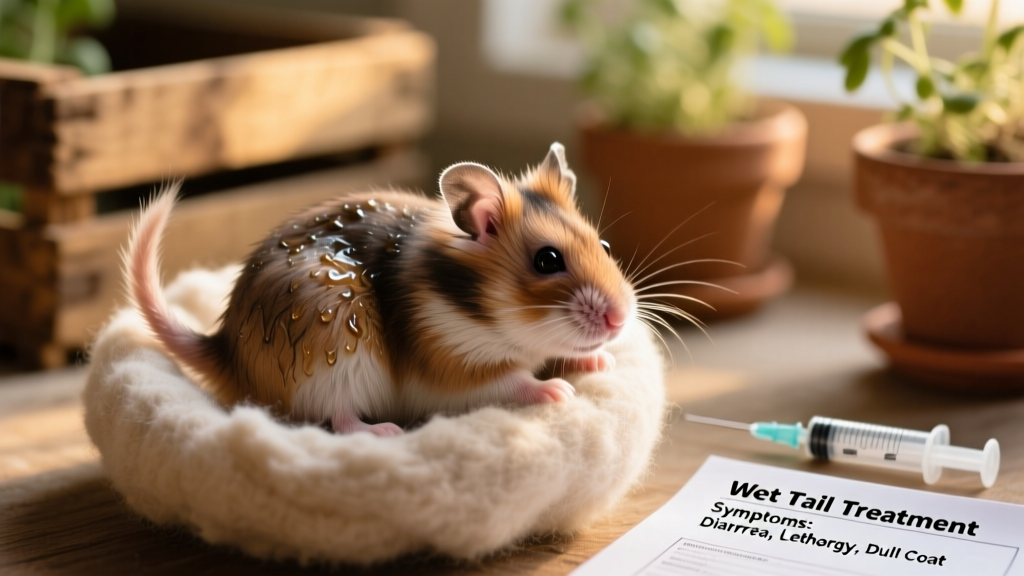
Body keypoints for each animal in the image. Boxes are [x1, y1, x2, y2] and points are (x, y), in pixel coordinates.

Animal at [125, 143, 636, 436]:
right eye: (547, 260)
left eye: (606, 245)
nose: (620, 321)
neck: (478, 312)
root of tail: (227, 349)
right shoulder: (452, 367)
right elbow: (513, 381)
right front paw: (559, 392)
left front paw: (601, 362)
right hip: (336, 358)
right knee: (340, 420)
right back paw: (385, 433)